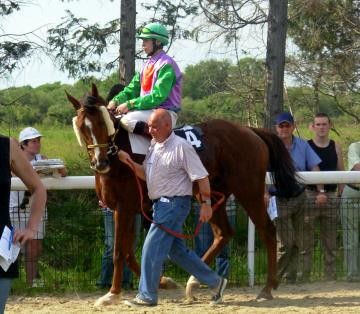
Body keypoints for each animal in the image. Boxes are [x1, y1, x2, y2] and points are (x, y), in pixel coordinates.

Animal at [66, 83, 300, 304]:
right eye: (82, 127)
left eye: (103, 123)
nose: (100, 162)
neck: (118, 159)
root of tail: (250, 130)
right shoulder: (126, 209)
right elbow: (128, 252)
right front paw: (164, 282)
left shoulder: (124, 208)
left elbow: (118, 252)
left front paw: (112, 294)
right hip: (211, 195)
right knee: (224, 233)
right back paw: (194, 282)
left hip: (248, 190)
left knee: (267, 229)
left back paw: (267, 287)